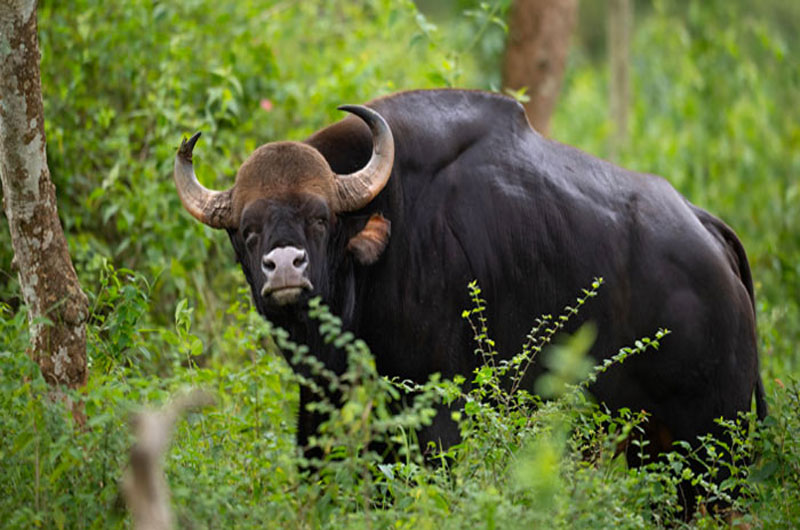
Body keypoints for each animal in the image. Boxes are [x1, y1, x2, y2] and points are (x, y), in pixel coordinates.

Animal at [173, 89, 764, 466]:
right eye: (247, 231)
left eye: (321, 217)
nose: (285, 267)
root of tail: (708, 232)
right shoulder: (319, 404)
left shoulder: (436, 410)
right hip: (656, 445)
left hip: (716, 442)